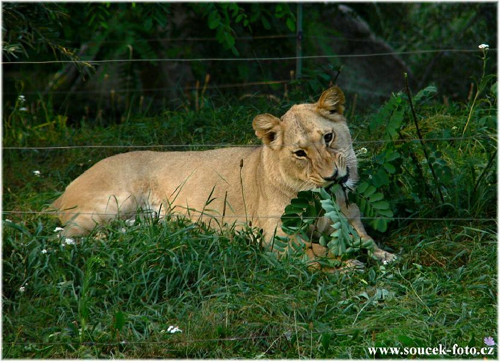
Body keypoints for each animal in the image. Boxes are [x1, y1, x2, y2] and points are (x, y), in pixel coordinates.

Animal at [52, 86, 396, 268]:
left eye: (328, 137)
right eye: (300, 153)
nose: (334, 176)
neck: (325, 197)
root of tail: (64, 190)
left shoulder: (350, 219)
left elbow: (366, 239)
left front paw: (383, 256)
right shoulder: (275, 235)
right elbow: (319, 251)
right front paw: (348, 264)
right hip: (115, 202)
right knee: (61, 236)